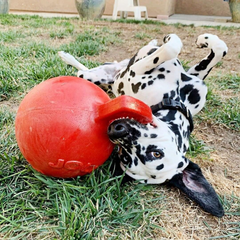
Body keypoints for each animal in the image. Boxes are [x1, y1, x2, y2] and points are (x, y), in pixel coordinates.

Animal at [59, 32, 228, 217]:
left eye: (155, 154)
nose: (116, 130)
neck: (173, 100)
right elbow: (193, 48)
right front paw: (201, 40)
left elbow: (191, 48)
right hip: (96, 74)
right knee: (84, 68)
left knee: (83, 70)